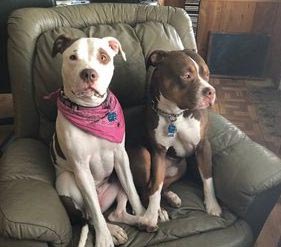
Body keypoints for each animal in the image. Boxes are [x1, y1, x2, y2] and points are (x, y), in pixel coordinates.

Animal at [127, 48, 221, 232]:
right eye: (186, 75)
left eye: (207, 74)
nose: (210, 91)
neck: (175, 114)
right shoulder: (158, 152)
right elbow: (155, 187)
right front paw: (150, 216)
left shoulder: (203, 146)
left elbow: (207, 178)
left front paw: (212, 205)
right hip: (143, 155)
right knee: (146, 188)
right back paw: (160, 210)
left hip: (181, 166)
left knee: (162, 185)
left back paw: (171, 197)